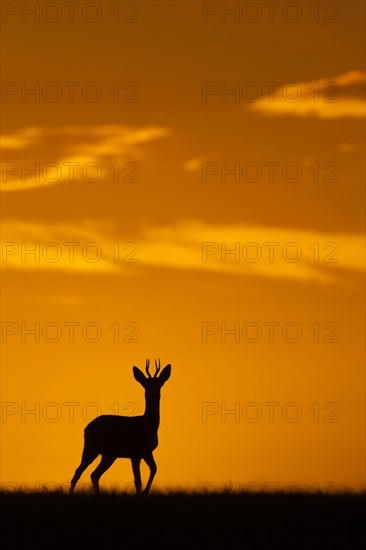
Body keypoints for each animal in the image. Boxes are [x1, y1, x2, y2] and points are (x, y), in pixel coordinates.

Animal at [70, 360, 172, 498]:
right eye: (146, 384)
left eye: (159, 383)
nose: (153, 393)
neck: (148, 424)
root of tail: (86, 428)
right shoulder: (135, 453)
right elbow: (138, 481)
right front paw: (141, 492)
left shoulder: (147, 452)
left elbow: (154, 469)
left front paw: (145, 492)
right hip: (92, 448)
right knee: (80, 472)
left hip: (109, 454)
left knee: (94, 474)